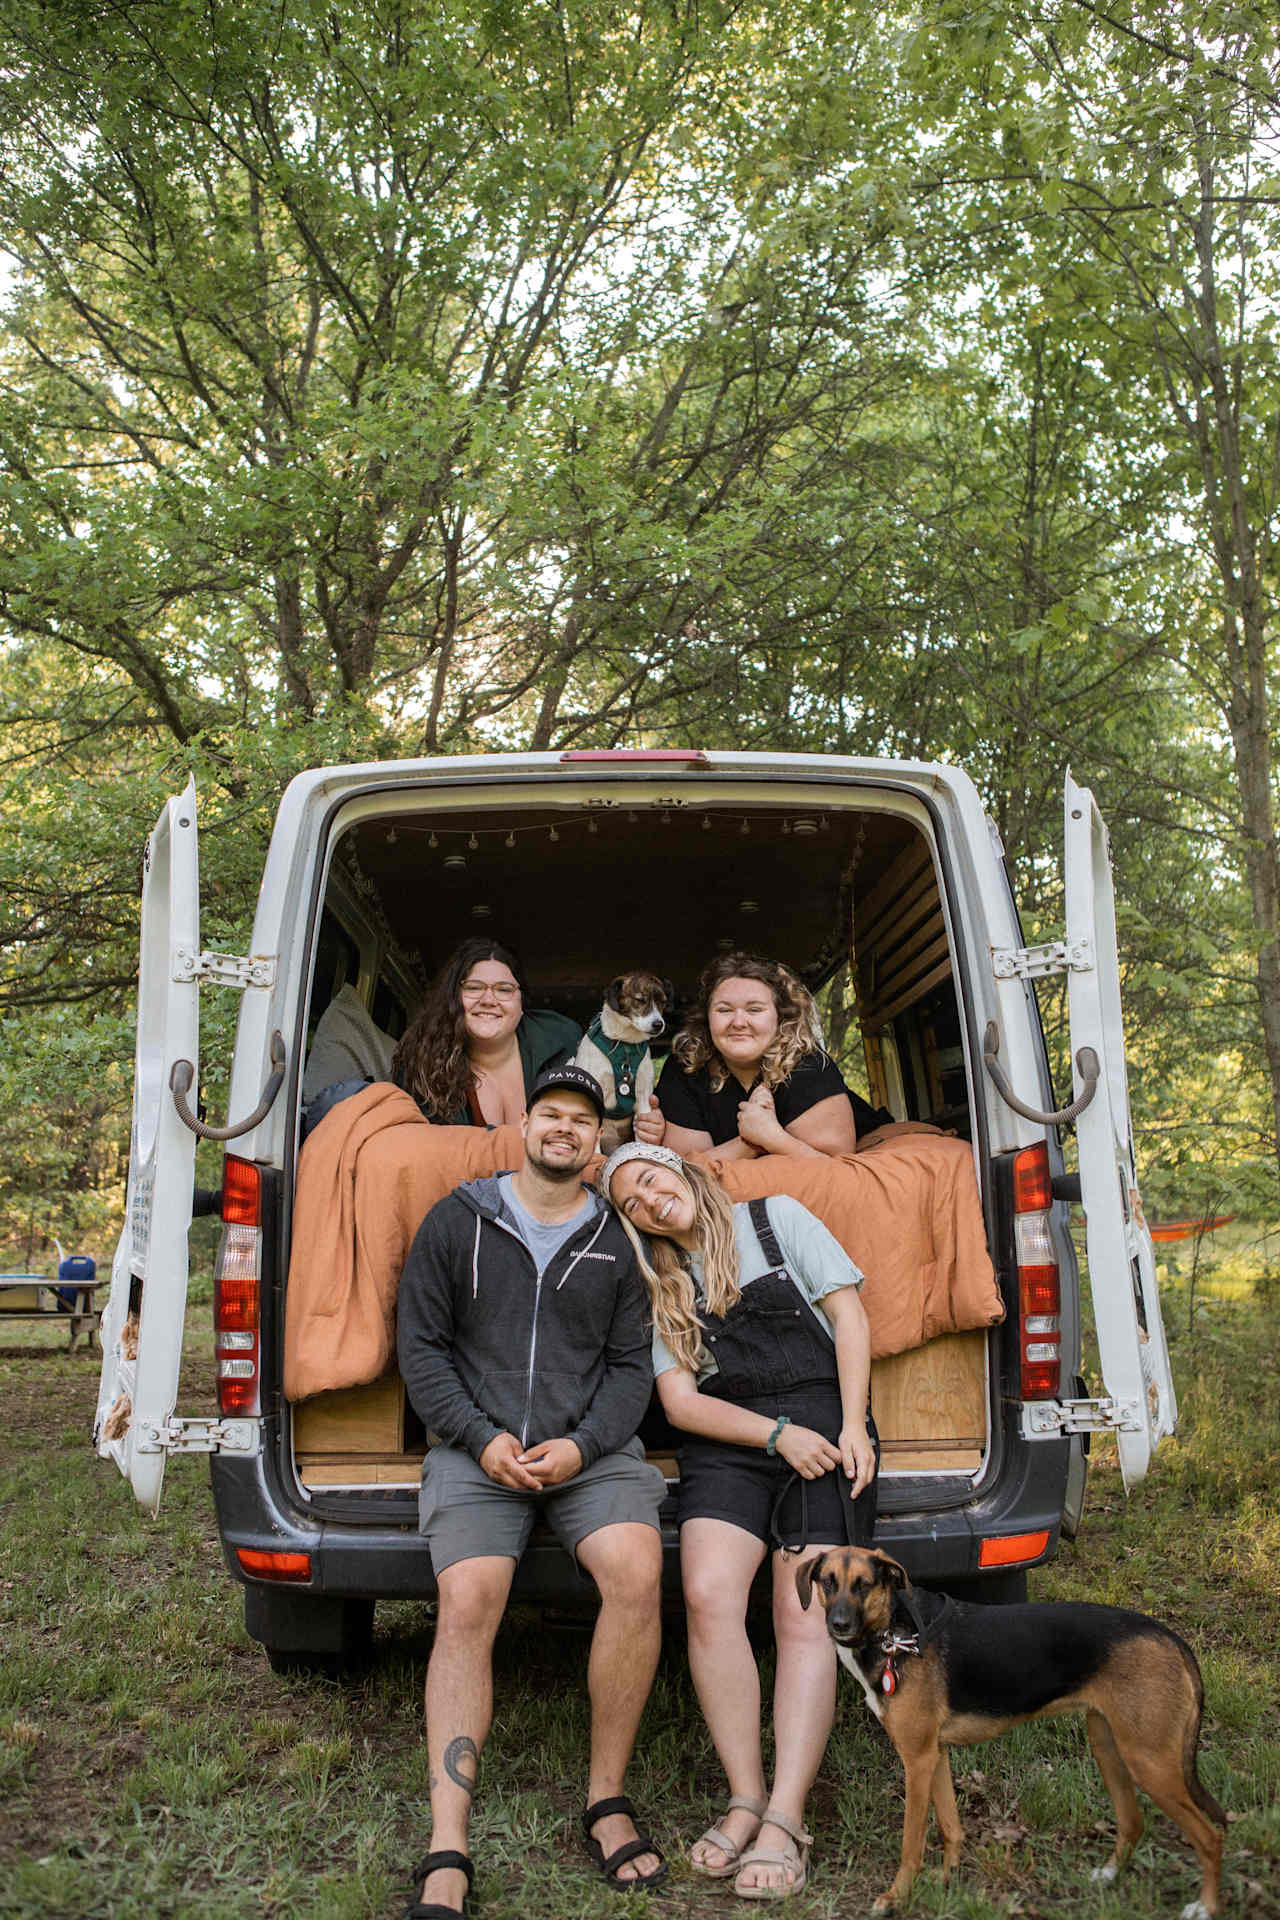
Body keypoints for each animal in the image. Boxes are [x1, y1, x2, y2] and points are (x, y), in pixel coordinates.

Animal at [794, 1543, 1228, 1920]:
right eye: (827, 1582)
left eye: (864, 1584)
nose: (838, 1624)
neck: (893, 1635)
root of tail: (1172, 1639)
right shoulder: (936, 1755)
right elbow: (951, 1826)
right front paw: (948, 1877)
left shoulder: (916, 1761)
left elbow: (911, 1843)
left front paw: (896, 1897)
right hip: (1110, 1748)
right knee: (1134, 1823)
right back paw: (1108, 1875)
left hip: (1150, 1763)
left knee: (1211, 1837)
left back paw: (1205, 1907)